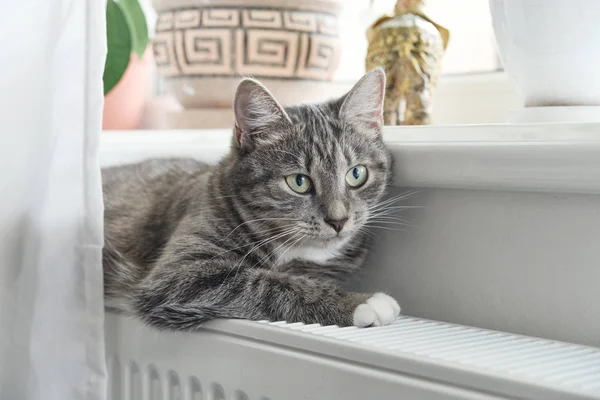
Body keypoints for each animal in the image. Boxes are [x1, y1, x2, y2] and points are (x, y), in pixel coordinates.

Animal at [102, 69, 400, 332]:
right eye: (299, 182)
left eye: (356, 174)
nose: (338, 220)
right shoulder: (179, 274)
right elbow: (265, 283)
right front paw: (359, 302)